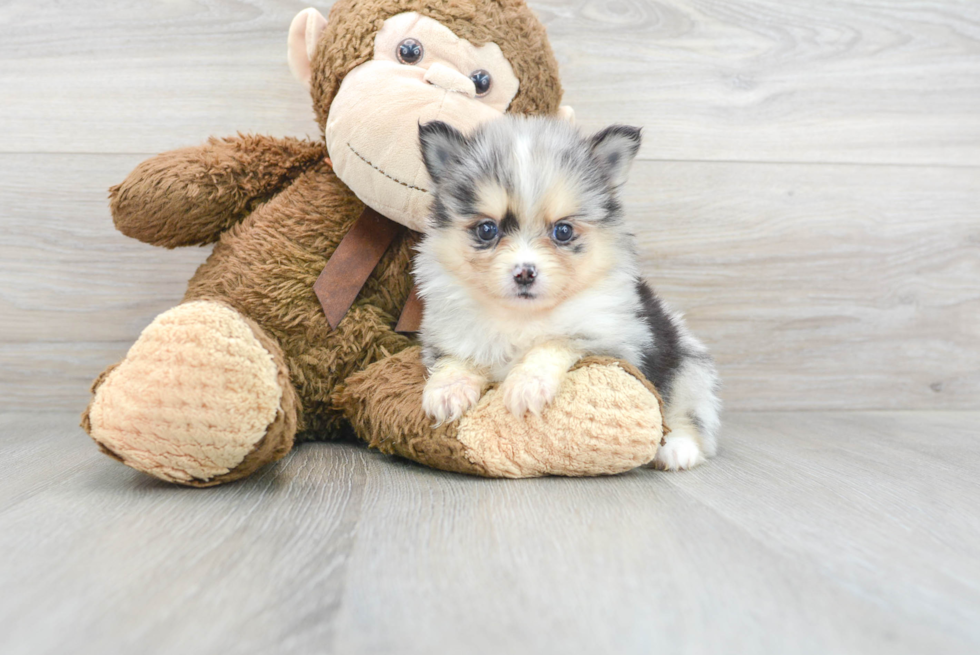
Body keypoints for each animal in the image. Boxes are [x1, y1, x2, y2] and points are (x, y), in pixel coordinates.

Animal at [412, 115, 720, 468]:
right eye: (487, 229)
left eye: (563, 231)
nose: (524, 272)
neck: (521, 317)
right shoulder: (450, 336)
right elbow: (457, 359)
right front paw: (447, 391)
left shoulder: (611, 341)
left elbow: (554, 342)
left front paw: (526, 385)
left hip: (689, 363)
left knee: (690, 411)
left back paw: (677, 448)